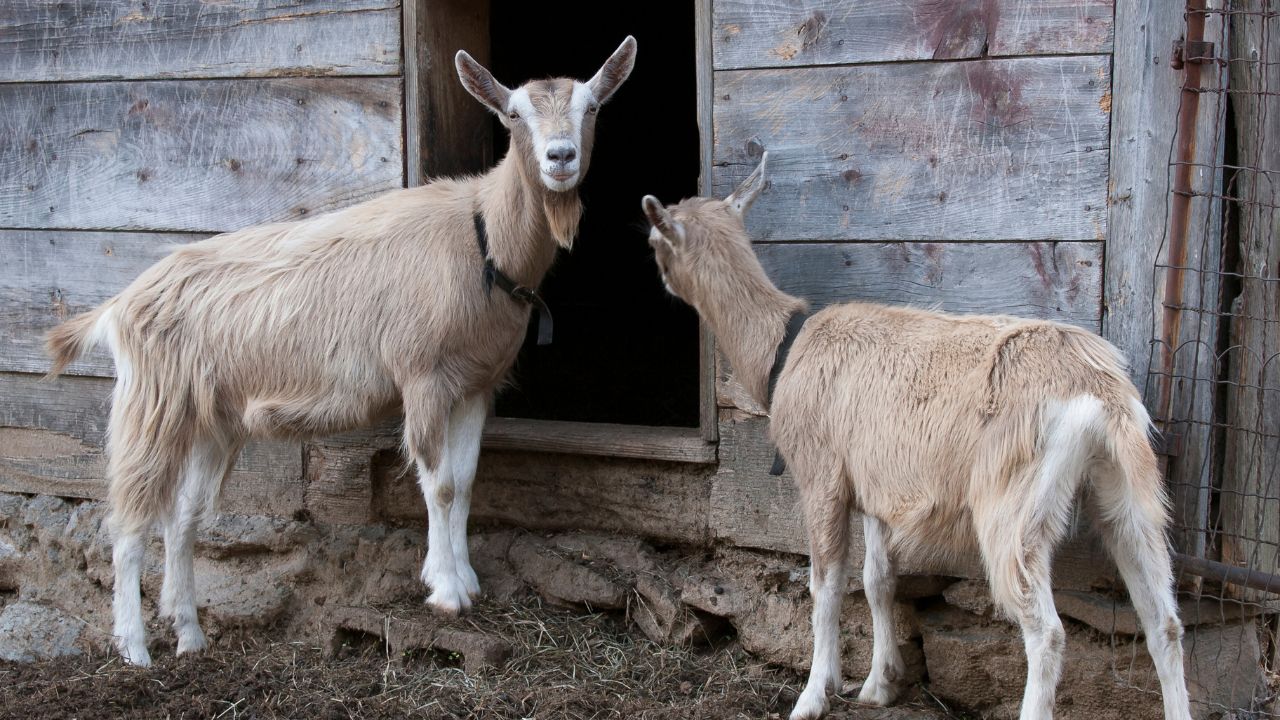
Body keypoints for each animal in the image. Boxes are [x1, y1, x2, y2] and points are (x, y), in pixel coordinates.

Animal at [44, 37, 637, 667]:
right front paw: (445, 592)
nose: (560, 157)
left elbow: (466, 481)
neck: (483, 237)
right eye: (514, 115)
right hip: (152, 405)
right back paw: (135, 647)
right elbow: (439, 484)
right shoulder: (423, 377)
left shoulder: (476, 385)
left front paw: (468, 579)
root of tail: (118, 305)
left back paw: (190, 635)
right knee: (129, 523)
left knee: (182, 518)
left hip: (214, 419)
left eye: (592, 107)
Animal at [641, 154, 1192, 720]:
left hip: (1014, 499)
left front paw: (813, 695)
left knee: (1047, 631)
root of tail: (1098, 389)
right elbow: (879, 581)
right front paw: (879, 684)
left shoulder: (822, 477)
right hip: (1127, 489)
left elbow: (827, 585)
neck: (783, 351)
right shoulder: (875, 487)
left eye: (655, 238)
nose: (657, 277)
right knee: (1164, 622)